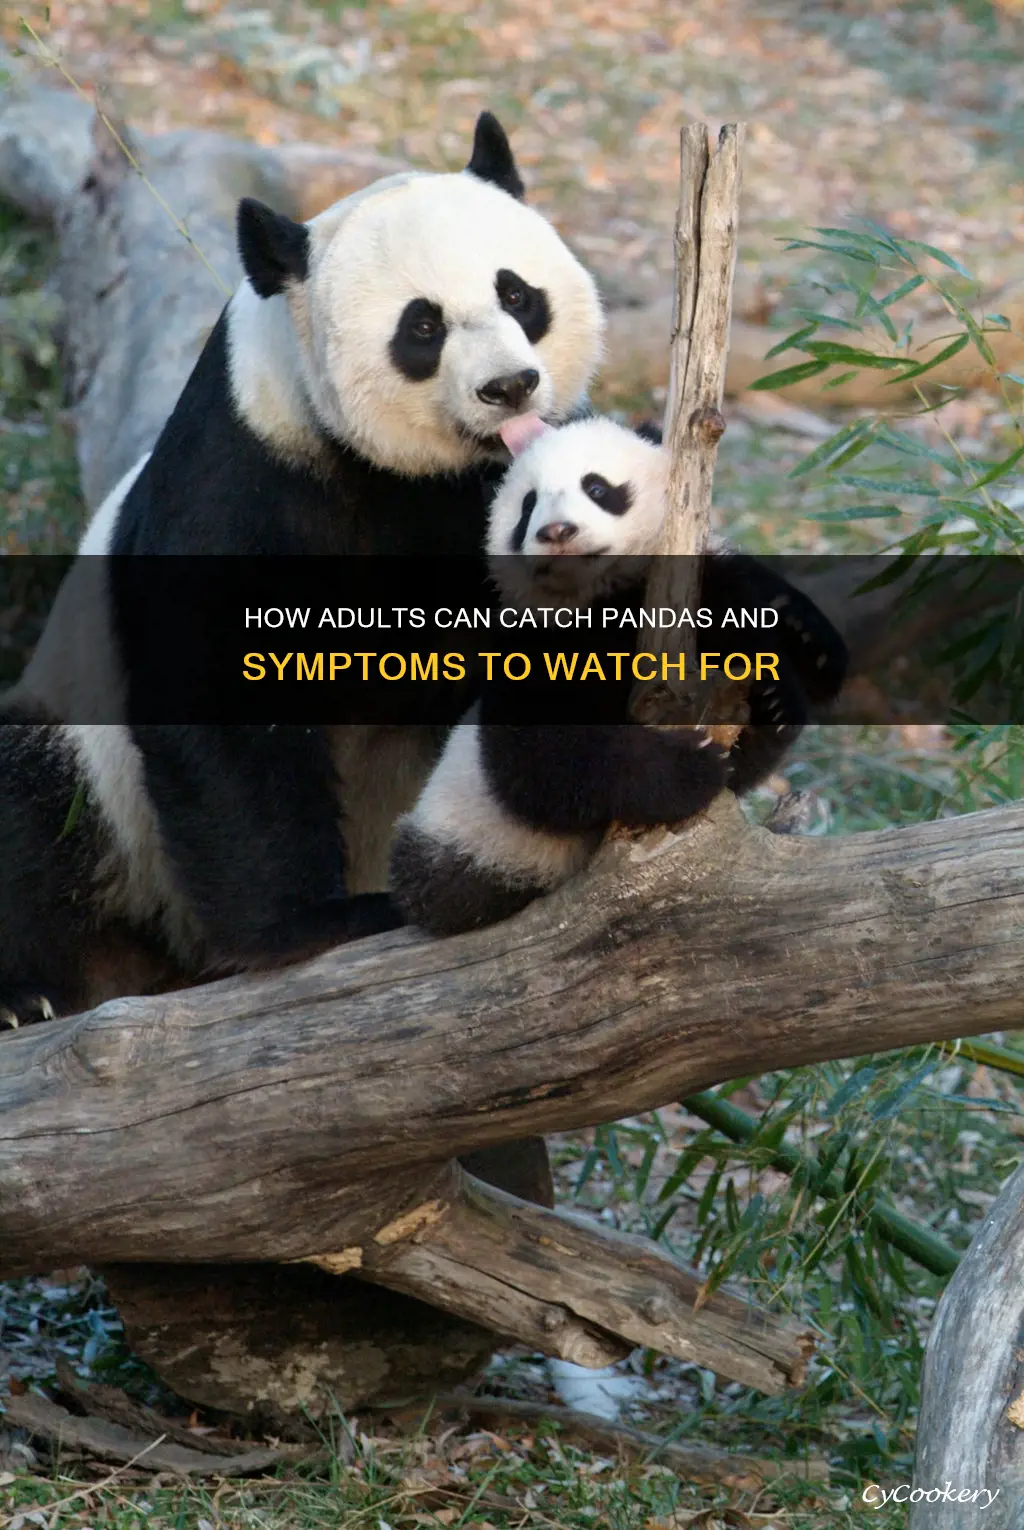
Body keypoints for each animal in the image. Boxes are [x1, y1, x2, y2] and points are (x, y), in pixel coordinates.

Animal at [0, 112, 606, 1024]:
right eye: (422, 327)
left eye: (516, 294)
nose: (509, 386)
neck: (408, 474)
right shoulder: (247, 472)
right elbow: (223, 699)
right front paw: (312, 926)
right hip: (88, 771)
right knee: (33, 815)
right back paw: (30, 995)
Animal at [389, 417, 848, 936]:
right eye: (527, 505)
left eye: (596, 488)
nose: (557, 530)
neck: (606, 597)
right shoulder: (537, 650)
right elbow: (542, 763)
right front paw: (691, 768)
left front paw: (785, 681)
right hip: (465, 841)